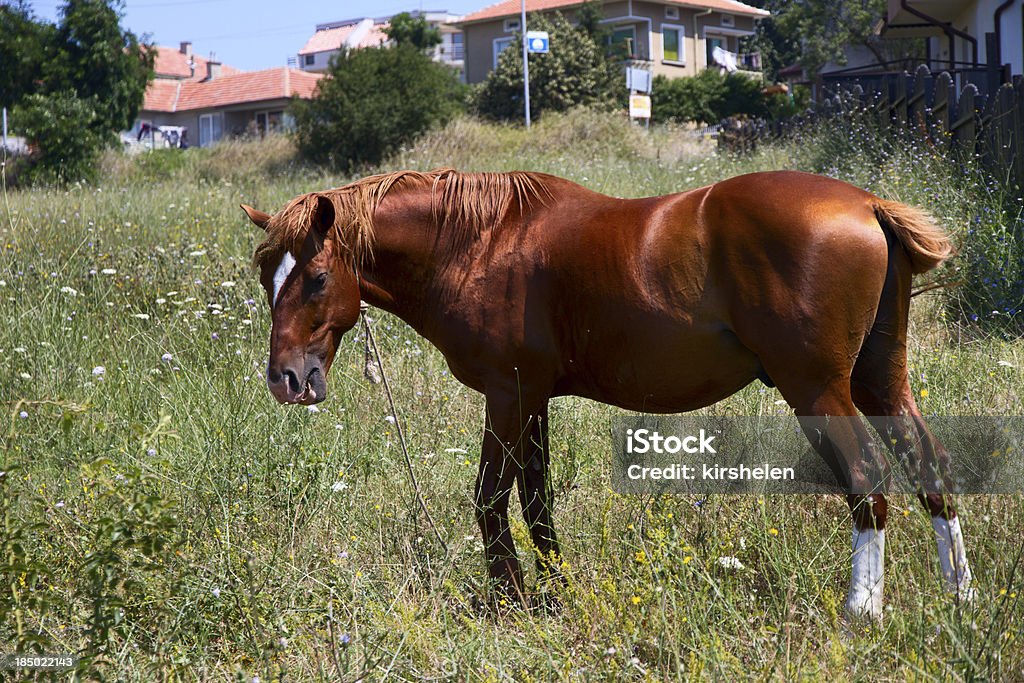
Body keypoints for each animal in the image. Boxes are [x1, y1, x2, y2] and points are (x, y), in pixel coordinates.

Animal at [241, 169, 974, 618]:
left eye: (314, 278)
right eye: (264, 277)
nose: (287, 379)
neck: (482, 242)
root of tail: (866, 205)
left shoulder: (506, 395)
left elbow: (490, 498)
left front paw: (510, 603)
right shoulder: (534, 399)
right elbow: (536, 500)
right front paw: (555, 594)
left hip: (818, 390)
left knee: (868, 480)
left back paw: (860, 612)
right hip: (881, 381)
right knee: (930, 468)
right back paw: (960, 597)